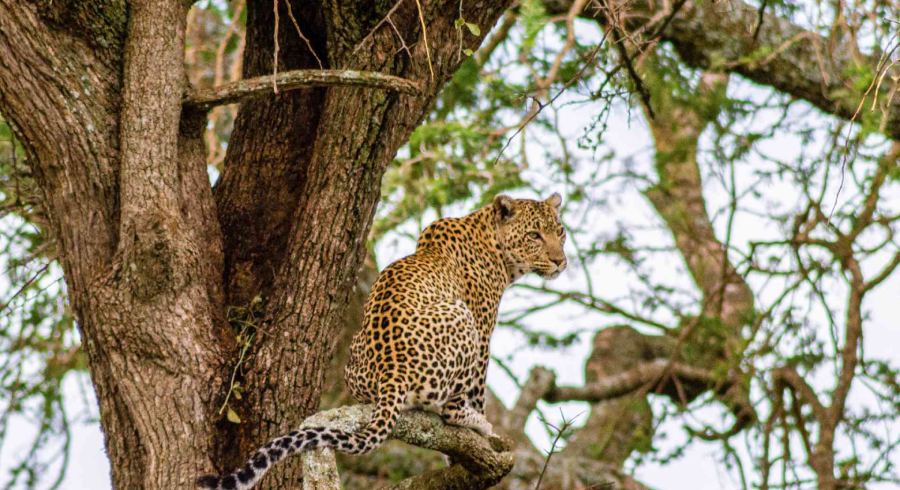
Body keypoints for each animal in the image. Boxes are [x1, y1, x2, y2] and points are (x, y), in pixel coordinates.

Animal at [197, 193, 567, 490]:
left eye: (560, 232)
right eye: (534, 235)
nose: (561, 261)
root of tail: (392, 373)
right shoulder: (483, 327)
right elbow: (478, 389)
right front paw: (483, 436)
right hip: (460, 316)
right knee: (449, 409)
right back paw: (476, 423)